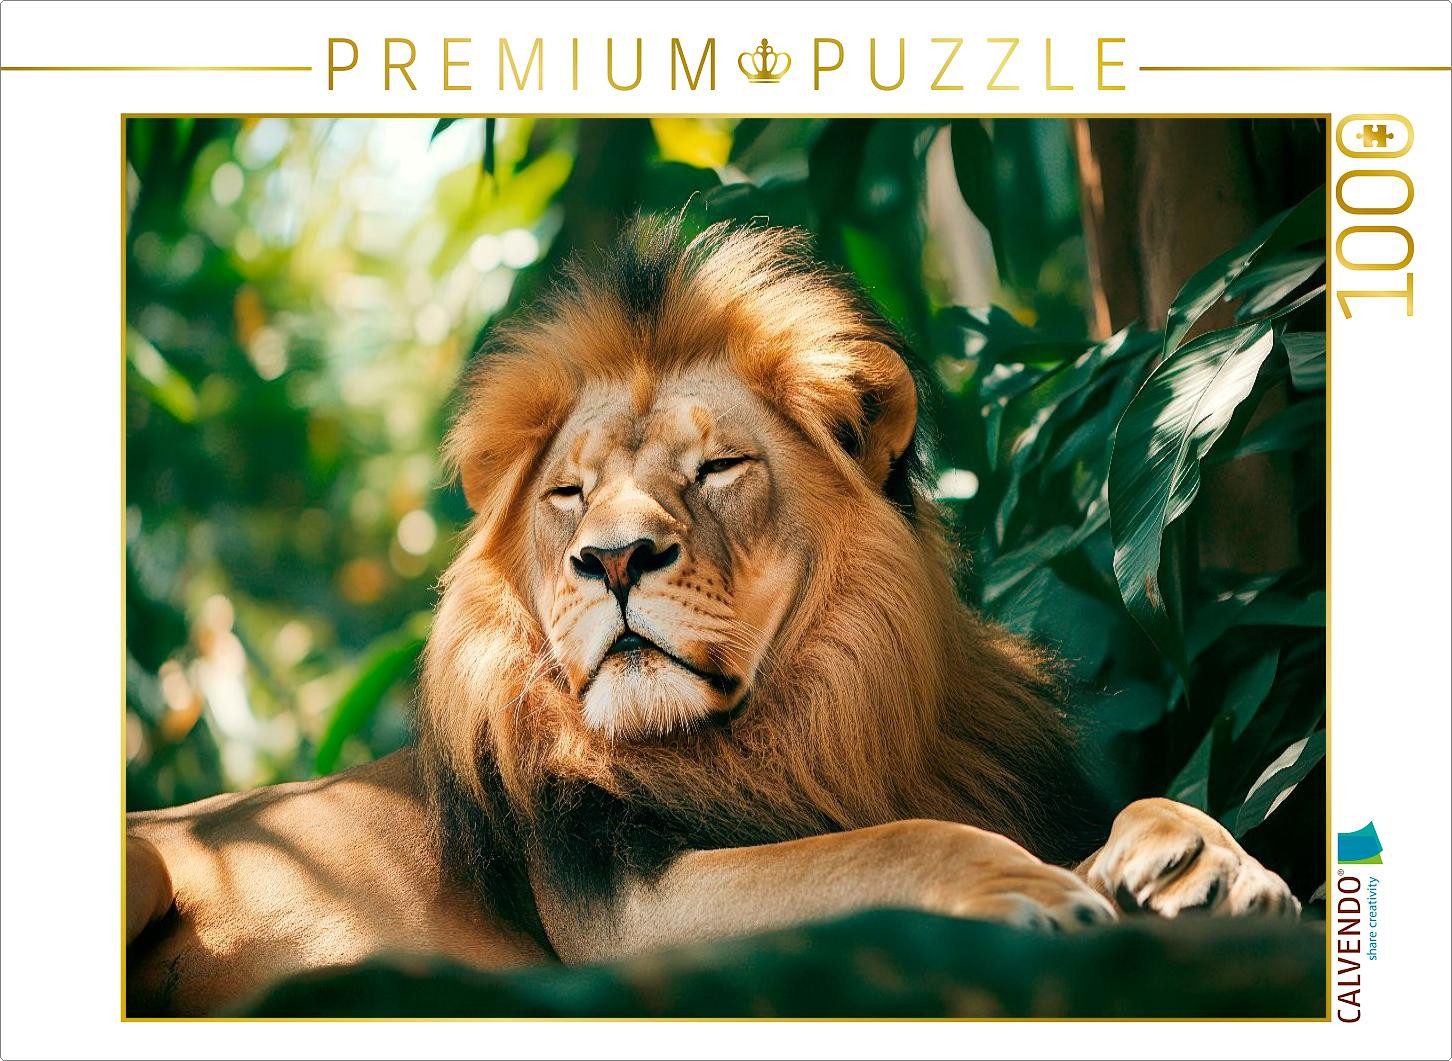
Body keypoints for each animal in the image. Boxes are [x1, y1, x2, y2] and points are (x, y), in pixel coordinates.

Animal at [126, 218, 1299, 1016]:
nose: (614, 558)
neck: (823, 719)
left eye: (719, 468)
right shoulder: (625, 915)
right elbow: (876, 845)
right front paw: (1021, 882)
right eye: (570, 494)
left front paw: (1200, 862)